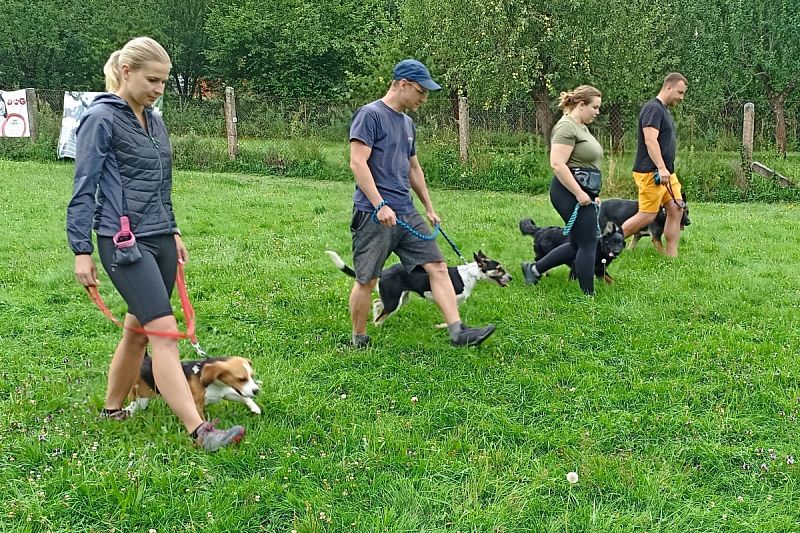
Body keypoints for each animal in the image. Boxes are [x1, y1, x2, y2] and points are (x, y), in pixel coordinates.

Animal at [326, 249, 510, 324]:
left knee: (377, 302)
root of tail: (383, 273)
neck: (470, 274)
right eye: (499, 269)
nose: (511, 277)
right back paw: (377, 325)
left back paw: (377, 320)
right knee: (380, 311)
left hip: (399, 298)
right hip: (394, 301)